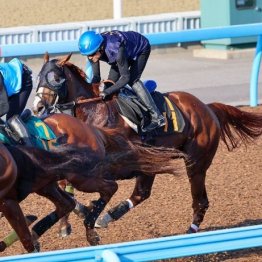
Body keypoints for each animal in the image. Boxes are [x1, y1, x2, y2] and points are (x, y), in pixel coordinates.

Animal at [32, 52, 262, 234]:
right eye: (38, 77)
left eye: (55, 78)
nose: (37, 107)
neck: (94, 110)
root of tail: (207, 108)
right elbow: (64, 182)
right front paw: (69, 221)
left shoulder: (115, 165)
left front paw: (79, 213)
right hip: (154, 161)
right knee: (142, 193)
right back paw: (106, 218)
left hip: (195, 163)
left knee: (200, 200)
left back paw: (190, 230)